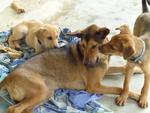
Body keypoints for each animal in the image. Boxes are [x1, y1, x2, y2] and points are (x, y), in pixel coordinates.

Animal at [0, 24, 139, 113]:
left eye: (94, 46)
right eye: (83, 45)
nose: (86, 64)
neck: (101, 56)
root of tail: (7, 78)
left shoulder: (105, 70)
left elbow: (122, 67)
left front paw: (137, 70)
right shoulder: (94, 86)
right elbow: (119, 88)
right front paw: (135, 95)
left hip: (45, 93)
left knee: (26, 109)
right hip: (41, 91)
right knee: (14, 109)